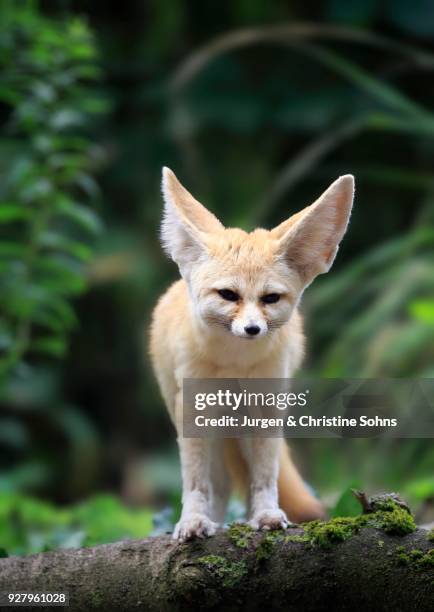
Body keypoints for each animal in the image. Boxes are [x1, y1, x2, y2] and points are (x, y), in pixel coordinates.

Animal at [149, 167, 352, 540]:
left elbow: (264, 477)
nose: (252, 329)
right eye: (228, 295)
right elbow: (196, 483)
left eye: (270, 299)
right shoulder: (194, 412)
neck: (233, 364)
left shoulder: (267, 408)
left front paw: (267, 515)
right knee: (220, 483)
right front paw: (193, 520)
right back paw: (214, 520)